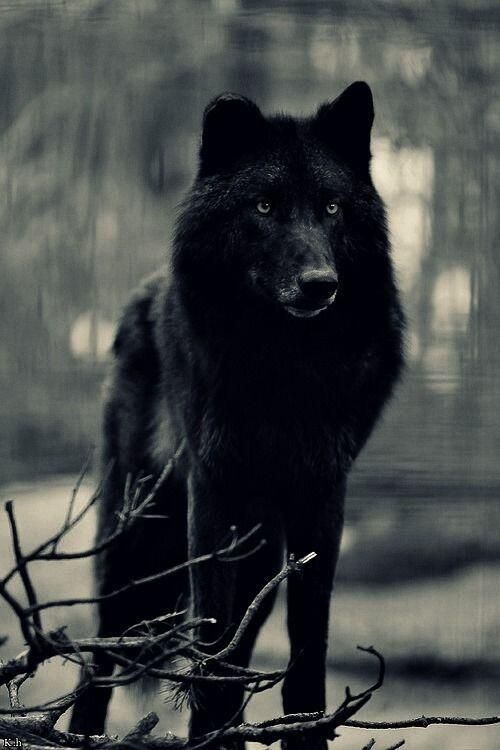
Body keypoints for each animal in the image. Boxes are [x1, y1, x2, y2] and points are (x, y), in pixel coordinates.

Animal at [70, 82, 404, 749]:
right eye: (266, 205)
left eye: (331, 207)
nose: (320, 284)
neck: (285, 368)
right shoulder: (212, 493)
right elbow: (211, 642)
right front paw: (206, 730)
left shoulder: (322, 498)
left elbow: (306, 646)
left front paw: (303, 730)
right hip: (133, 534)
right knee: (100, 657)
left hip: (262, 557)